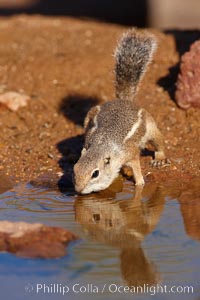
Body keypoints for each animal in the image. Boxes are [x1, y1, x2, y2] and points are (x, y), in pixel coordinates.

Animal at [73, 29, 169, 195]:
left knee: (159, 141)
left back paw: (159, 158)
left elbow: (136, 167)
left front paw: (140, 183)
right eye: (75, 169)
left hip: (151, 127)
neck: (103, 145)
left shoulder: (130, 153)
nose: (78, 190)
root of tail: (124, 100)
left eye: (95, 174)